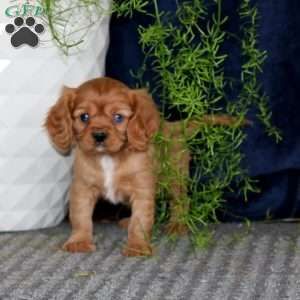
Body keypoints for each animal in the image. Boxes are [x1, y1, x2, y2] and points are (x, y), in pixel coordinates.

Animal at [44, 77, 241, 255]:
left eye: (118, 117)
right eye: (84, 117)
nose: (99, 135)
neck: (109, 158)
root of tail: (174, 127)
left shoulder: (142, 189)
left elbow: (140, 221)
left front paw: (137, 246)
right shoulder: (82, 189)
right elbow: (80, 217)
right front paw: (79, 241)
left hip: (175, 179)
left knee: (180, 202)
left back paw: (177, 225)